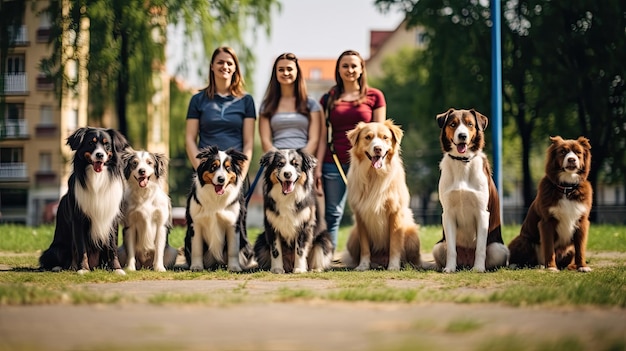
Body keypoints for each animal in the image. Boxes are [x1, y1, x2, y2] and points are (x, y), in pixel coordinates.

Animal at [432, 108, 510, 274]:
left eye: (470, 124)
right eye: (453, 124)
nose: (462, 136)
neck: (462, 163)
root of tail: (466, 263)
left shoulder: (482, 213)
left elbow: (480, 248)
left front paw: (479, 268)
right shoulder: (448, 214)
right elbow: (451, 250)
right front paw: (449, 268)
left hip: (498, 249)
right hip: (438, 246)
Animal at [508, 137, 588, 272]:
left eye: (578, 152)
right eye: (563, 152)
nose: (571, 159)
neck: (566, 188)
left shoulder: (582, 221)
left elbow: (581, 248)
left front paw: (583, 266)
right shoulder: (547, 221)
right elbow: (549, 247)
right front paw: (551, 267)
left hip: (569, 249)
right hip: (524, 240)